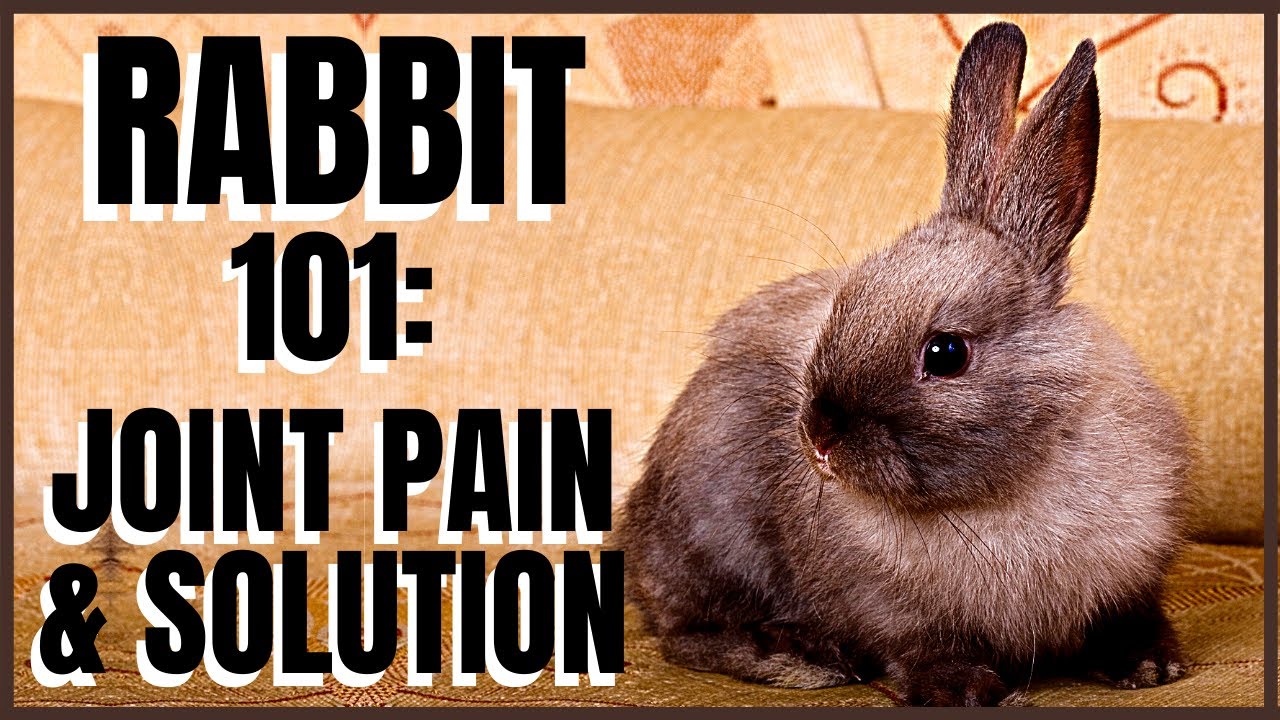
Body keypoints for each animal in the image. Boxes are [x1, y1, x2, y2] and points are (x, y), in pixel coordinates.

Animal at [617, 22, 1192, 707]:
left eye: (945, 353)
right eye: (842, 307)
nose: (818, 439)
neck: (1003, 488)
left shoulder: (1133, 568)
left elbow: (1130, 617)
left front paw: (1150, 666)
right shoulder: (890, 607)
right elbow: (923, 647)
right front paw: (965, 691)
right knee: (686, 633)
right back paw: (800, 658)